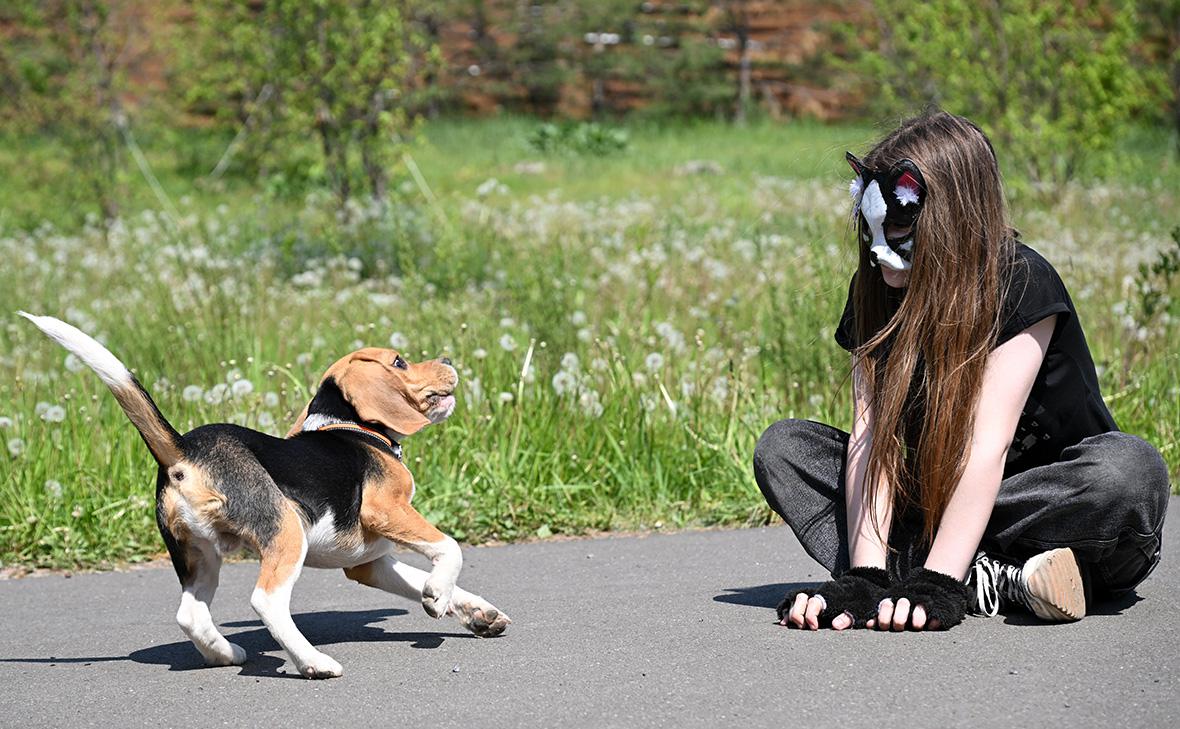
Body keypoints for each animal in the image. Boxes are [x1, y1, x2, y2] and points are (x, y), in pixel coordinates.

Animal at [18, 311, 507, 674]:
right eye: (401, 362)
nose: (448, 358)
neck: (351, 426)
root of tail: (183, 450)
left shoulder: (368, 563)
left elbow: (421, 577)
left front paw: (478, 613)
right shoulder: (387, 511)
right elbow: (449, 549)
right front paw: (438, 595)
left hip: (198, 554)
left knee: (189, 613)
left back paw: (224, 653)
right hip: (286, 531)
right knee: (266, 601)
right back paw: (313, 662)